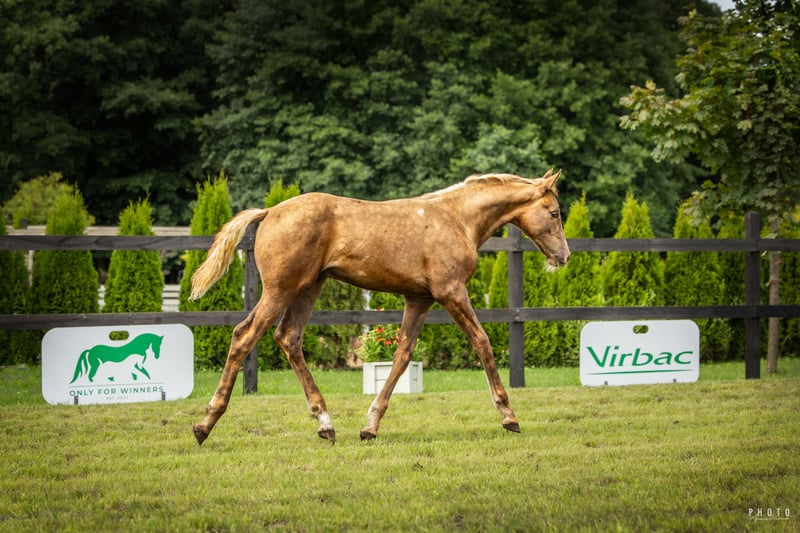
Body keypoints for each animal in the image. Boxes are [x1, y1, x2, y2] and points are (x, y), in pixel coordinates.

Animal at [190, 169, 570, 445]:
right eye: (554, 212)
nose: (563, 256)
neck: (457, 218)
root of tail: (270, 211)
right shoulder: (451, 292)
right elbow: (482, 343)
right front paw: (509, 417)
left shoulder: (419, 299)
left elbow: (402, 354)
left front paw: (370, 426)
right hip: (280, 290)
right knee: (245, 335)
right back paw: (205, 424)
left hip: (308, 289)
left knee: (289, 338)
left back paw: (325, 423)